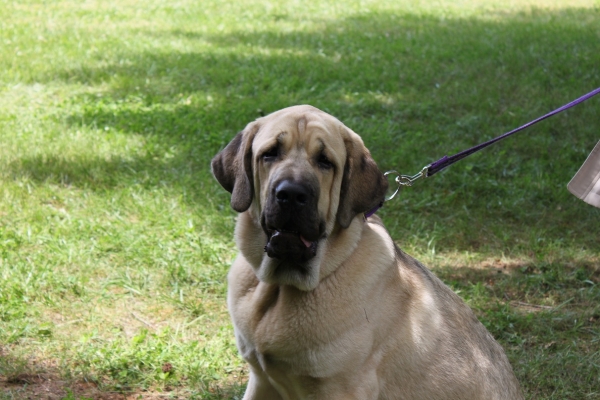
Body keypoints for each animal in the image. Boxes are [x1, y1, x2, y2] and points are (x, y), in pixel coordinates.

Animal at [211, 105, 520, 400]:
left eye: (325, 162)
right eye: (270, 154)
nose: (291, 194)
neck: (282, 288)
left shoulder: (341, 389)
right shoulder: (262, 381)